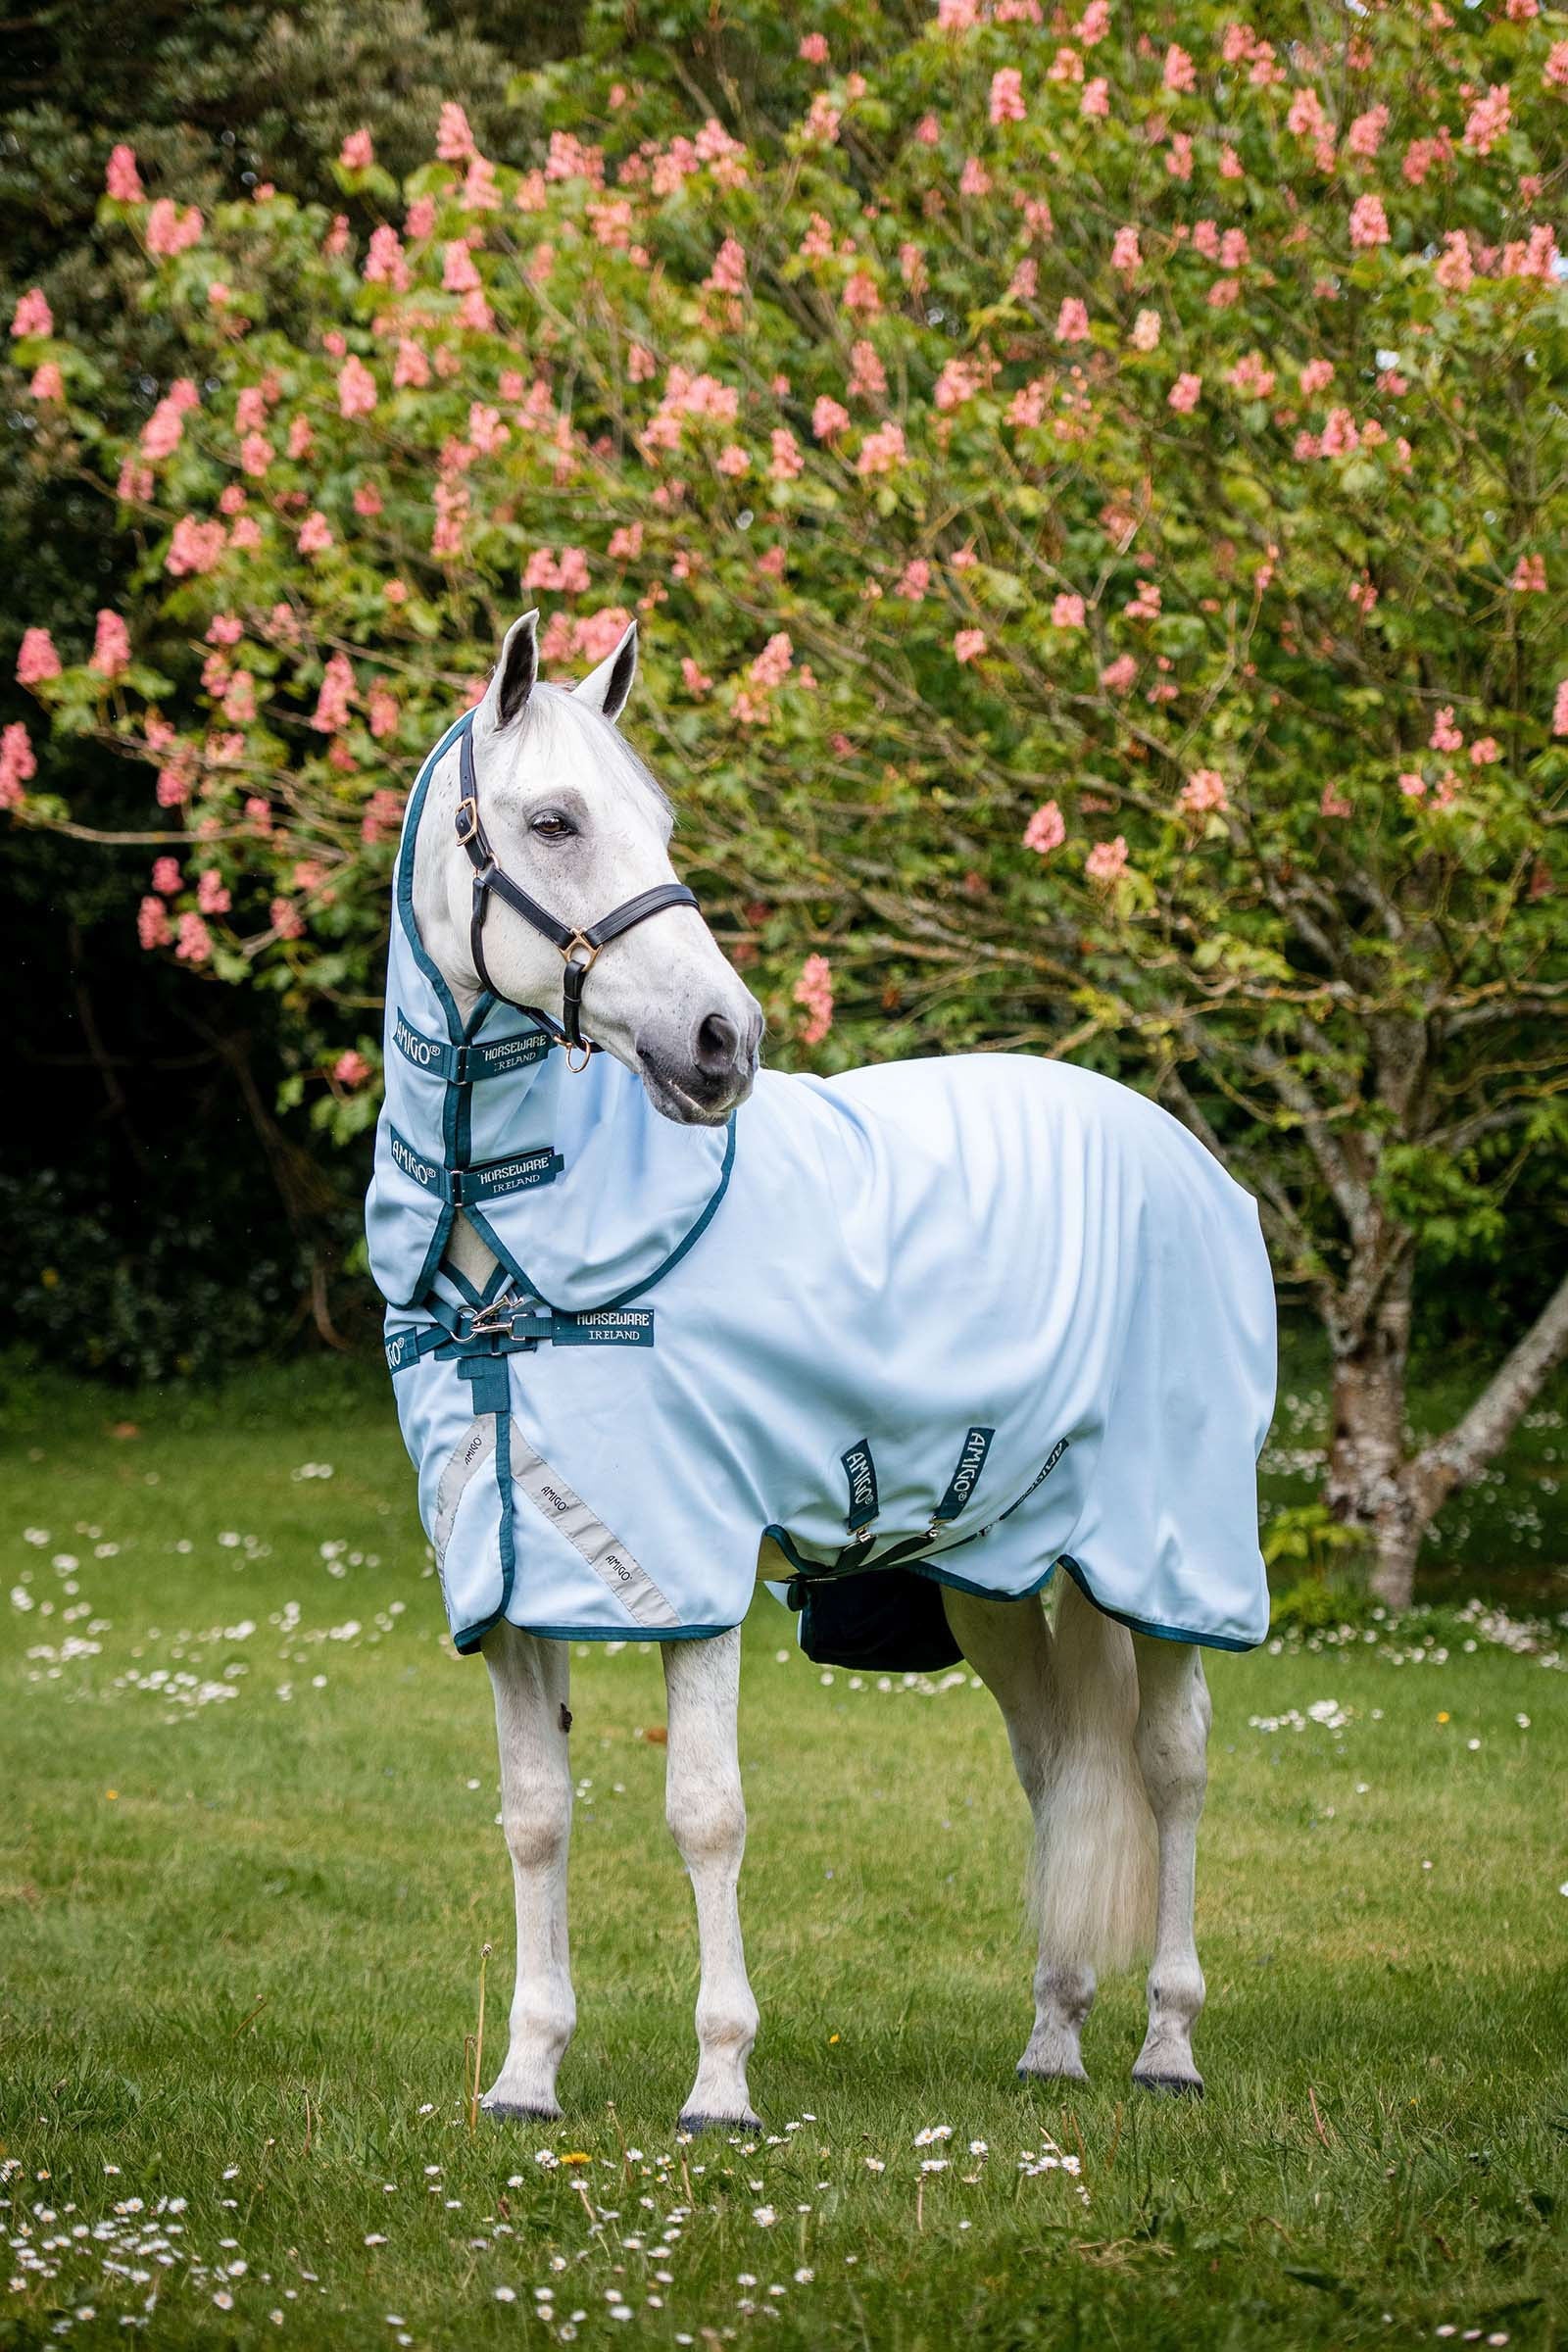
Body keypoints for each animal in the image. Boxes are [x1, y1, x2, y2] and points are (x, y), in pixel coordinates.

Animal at [366, 609, 1276, 2128]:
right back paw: (1051, 2034)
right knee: (1057, 1769)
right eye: (554, 821)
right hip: (992, 1574)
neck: (514, 1259)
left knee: (1174, 1769)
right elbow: (537, 1819)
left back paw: (1168, 2041)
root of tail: (1171, 1146)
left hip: (1168, 1554)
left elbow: (706, 1813)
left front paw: (720, 2081)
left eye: (660, 820)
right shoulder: (511, 1583)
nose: (723, 1043)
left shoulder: (686, 1566)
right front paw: (528, 2072)